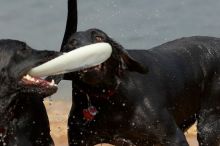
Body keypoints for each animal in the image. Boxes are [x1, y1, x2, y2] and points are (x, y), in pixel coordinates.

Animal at [59, 28, 220, 146]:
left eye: (98, 37)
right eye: (72, 44)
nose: (83, 52)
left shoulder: (173, 138)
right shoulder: (79, 139)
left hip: (208, 126)